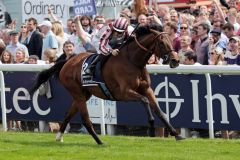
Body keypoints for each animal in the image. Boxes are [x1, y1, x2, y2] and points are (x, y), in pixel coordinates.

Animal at [31, 23, 183, 144]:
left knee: (68, 113)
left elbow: (160, 111)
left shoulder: (147, 89)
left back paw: (59, 136)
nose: (175, 61)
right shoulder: (124, 93)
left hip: (84, 94)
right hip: (77, 92)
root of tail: (67, 62)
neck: (133, 61)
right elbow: (145, 101)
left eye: (171, 40)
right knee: (85, 118)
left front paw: (177, 134)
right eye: (162, 43)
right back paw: (100, 141)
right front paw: (151, 127)